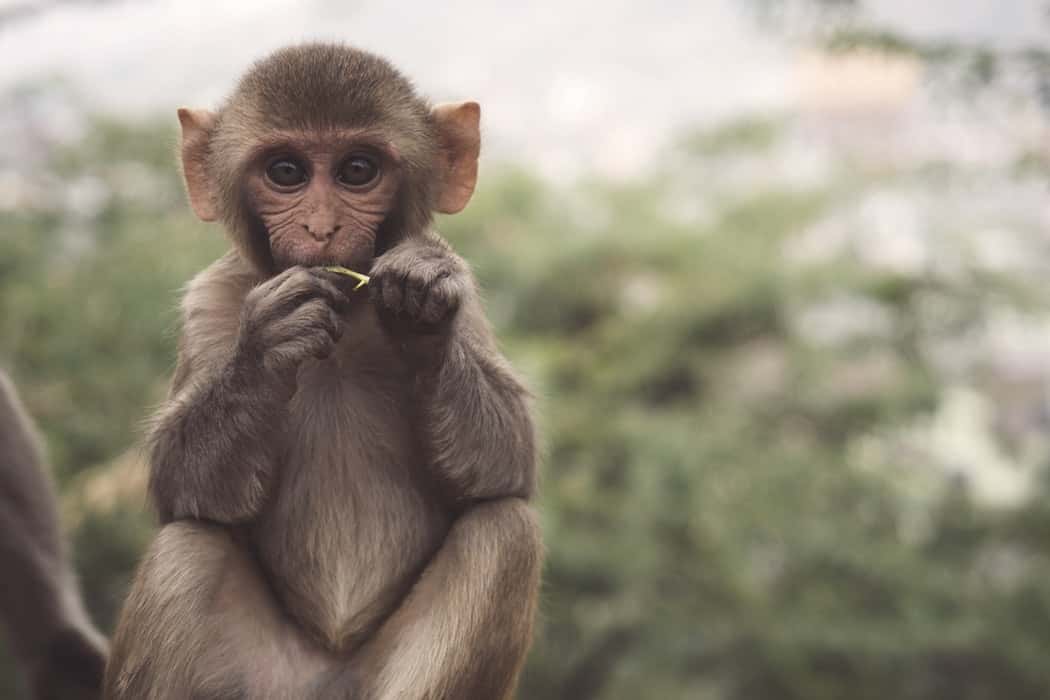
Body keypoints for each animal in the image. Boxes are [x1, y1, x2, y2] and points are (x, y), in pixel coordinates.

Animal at [104, 43, 542, 700]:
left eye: (357, 170)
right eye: (286, 172)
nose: (321, 229)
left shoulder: (466, 293)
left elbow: (506, 462)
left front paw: (421, 311)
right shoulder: (210, 302)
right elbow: (183, 485)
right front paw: (268, 346)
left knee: (504, 532)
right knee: (188, 549)